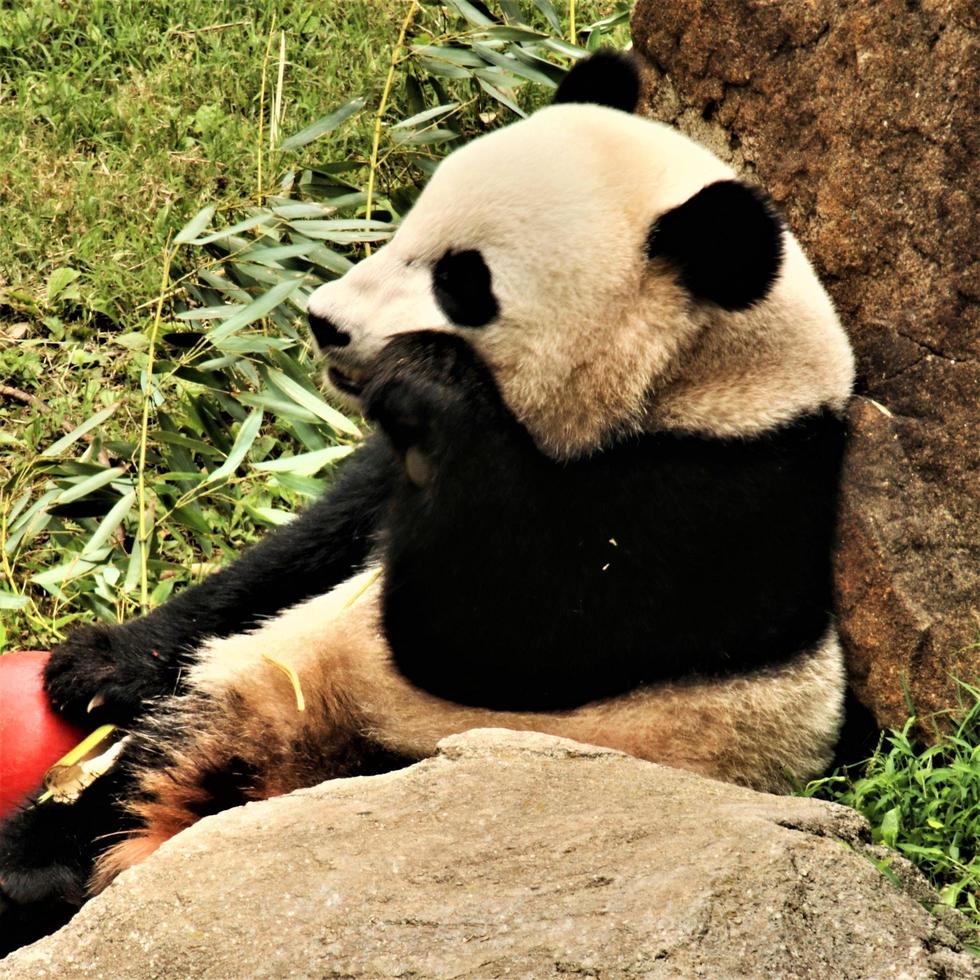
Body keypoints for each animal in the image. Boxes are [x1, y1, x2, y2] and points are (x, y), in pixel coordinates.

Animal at [0, 49, 852, 952]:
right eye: (411, 219)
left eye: (462, 281)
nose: (324, 321)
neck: (698, 380)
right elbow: (310, 546)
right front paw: (96, 665)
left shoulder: (718, 502)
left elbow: (483, 633)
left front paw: (429, 377)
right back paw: (39, 856)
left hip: (411, 749)